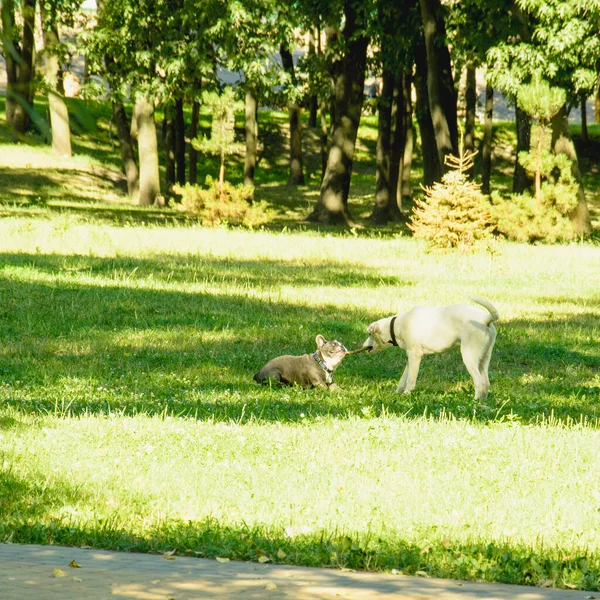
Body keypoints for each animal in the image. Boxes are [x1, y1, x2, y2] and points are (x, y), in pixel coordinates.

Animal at [364, 296, 500, 398]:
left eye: (369, 334)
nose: (363, 346)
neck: (398, 325)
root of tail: (485, 319)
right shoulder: (410, 358)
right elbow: (404, 378)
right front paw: (398, 393)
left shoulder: (415, 356)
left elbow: (410, 379)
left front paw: (407, 394)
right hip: (484, 357)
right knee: (486, 383)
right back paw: (482, 402)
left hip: (469, 355)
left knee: (479, 382)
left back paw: (474, 402)